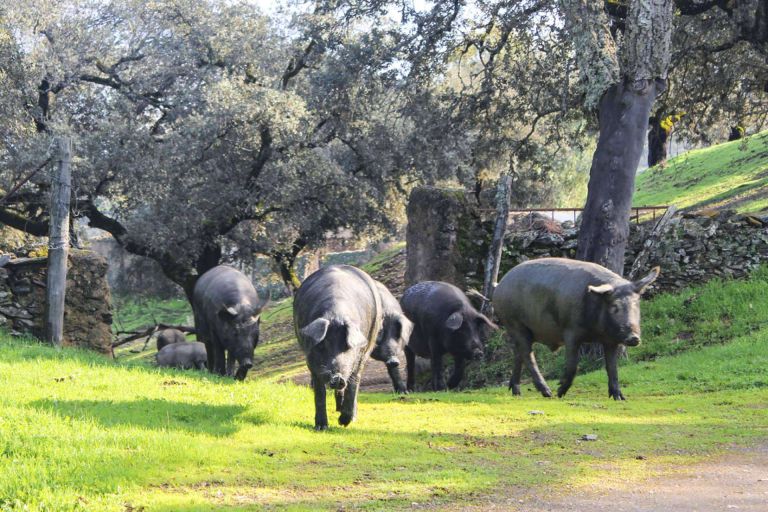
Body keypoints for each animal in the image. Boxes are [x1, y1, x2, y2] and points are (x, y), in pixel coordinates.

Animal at [296, 266, 388, 430]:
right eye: (322, 344)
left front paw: (344, 422)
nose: (337, 377)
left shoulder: (360, 355)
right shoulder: (311, 360)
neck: (336, 313)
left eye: (347, 346)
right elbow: (319, 391)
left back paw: (349, 416)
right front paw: (321, 427)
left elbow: (353, 383)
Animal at [492, 260, 660, 400]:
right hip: (515, 323)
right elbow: (573, 364)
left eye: (636, 304)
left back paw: (516, 392)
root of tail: (499, 285)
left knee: (518, 354)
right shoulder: (570, 332)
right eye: (614, 306)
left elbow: (612, 367)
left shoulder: (610, 341)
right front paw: (560, 393)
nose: (634, 338)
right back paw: (548, 393)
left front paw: (620, 398)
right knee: (528, 355)